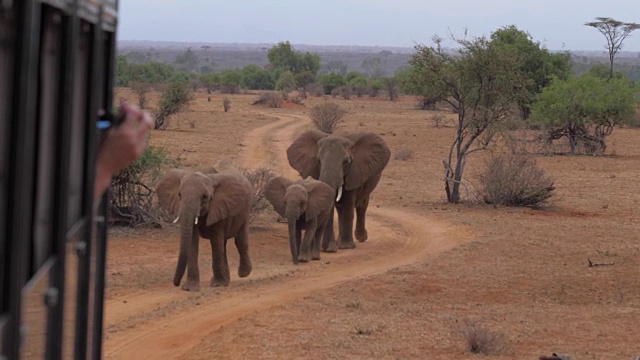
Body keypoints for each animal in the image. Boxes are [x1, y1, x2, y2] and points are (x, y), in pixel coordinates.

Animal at [155, 162, 252, 292]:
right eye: (179, 195)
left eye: (205, 197)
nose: (176, 284)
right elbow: (192, 240)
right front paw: (189, 288)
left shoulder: (219, 206)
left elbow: (215, 241)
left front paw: (218, 285)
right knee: (224, 244)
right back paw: (227, 279)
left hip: (245, 210)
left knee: (240, 240)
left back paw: (244, 273)